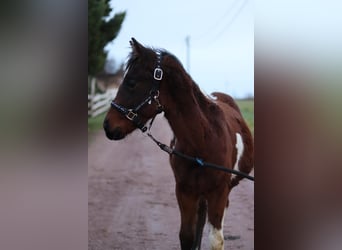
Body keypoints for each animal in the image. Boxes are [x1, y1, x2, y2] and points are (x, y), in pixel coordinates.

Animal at [104, 38, 254, 249]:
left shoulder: (218, 192)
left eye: (131, 83)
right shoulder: (185, 191)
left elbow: (216, 239)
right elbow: (187, 236)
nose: (107, 125)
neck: (203, 142)